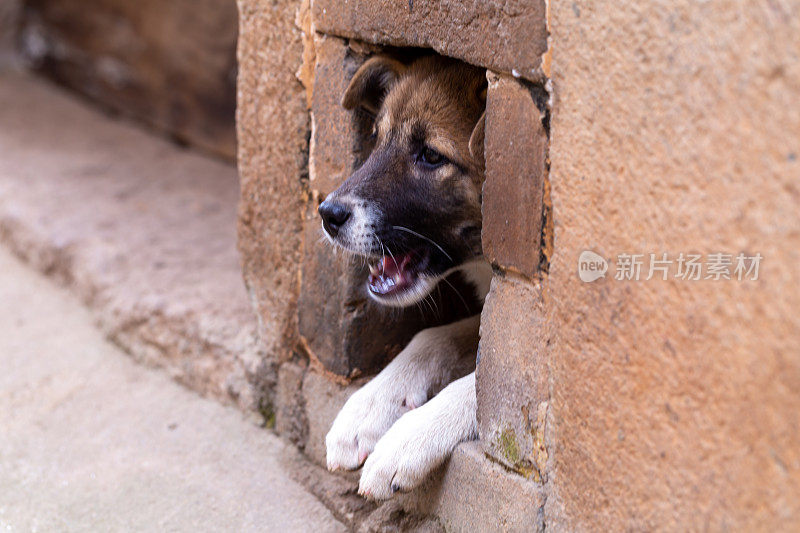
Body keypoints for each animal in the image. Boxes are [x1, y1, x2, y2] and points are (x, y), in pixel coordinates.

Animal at [318, 54, 488, 498]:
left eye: (430, 155)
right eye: (376, 139)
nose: (328, 214)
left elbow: (487, 387)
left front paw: (410, 438)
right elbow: (430, 336)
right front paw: (369, 406)